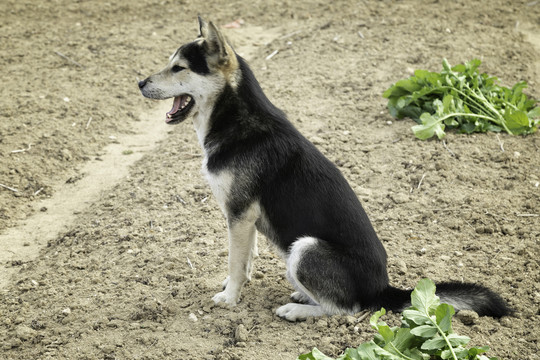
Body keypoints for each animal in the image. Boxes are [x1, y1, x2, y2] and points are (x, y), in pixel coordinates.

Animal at [138, 17, 510, 320]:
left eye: (179, 68)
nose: (139, 83)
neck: (234, 118)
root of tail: (382, 291)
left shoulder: (240, 215)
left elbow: (236, 261)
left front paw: (229, 299)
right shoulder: (245, 219)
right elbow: (245, 260)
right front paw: (235, 286)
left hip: (305, 248)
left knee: (347, 309)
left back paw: (297, 311)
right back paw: (303, 296)